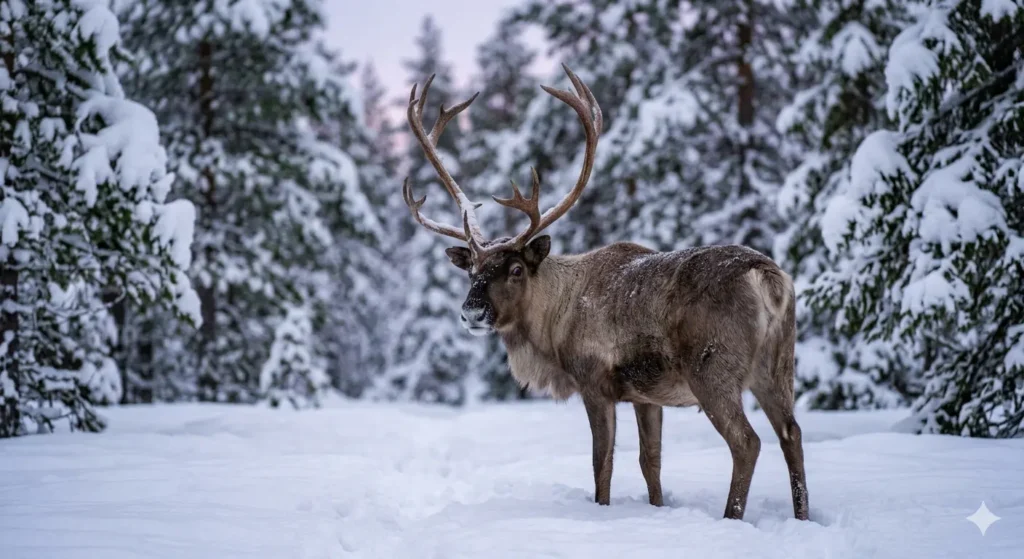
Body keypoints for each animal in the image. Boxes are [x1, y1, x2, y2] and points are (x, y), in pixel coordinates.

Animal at [399, 64, 809, 522]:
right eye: (471, 269)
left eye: (516, 269)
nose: (471, 312)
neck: (551, 330)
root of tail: (768, 279)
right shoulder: (647, 396)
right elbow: (651, 462)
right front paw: (657, 509)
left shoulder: (595, 383)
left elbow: (602, 462)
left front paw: (602, 511)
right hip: (777, 365)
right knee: (791, 433)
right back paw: (802, 517)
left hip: (714, 369)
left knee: (747, 442)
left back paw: (730, 517)